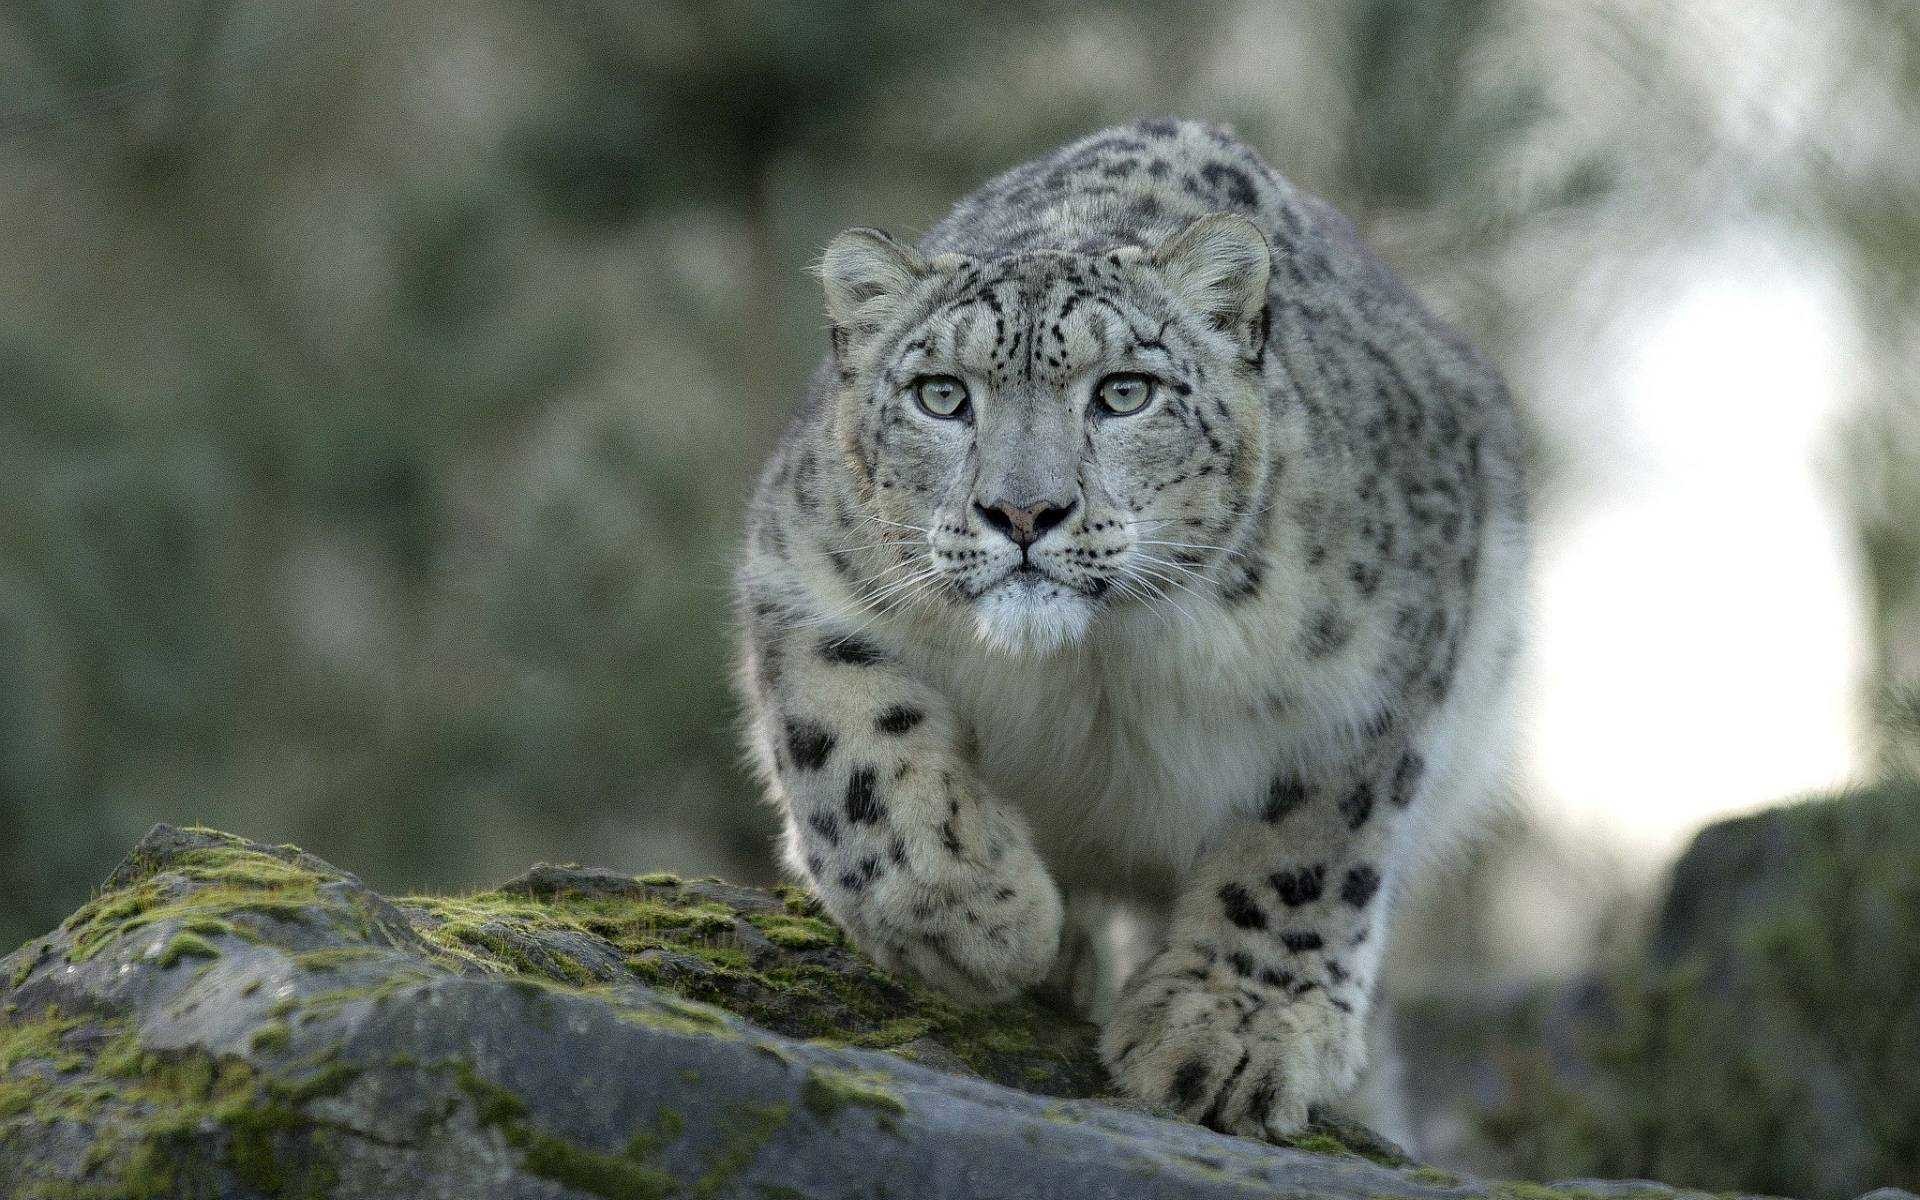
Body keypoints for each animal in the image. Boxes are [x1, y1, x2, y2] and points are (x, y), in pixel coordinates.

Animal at [732, 117, 1527, 1142]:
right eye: (942, 394)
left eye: (1124, 392)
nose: (1023, 512)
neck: (1096, 666)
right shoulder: (801, 576)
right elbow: (854, 750)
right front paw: (979, 917)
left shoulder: (1380, 675)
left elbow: (1309, 848)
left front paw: (1230, 1034)